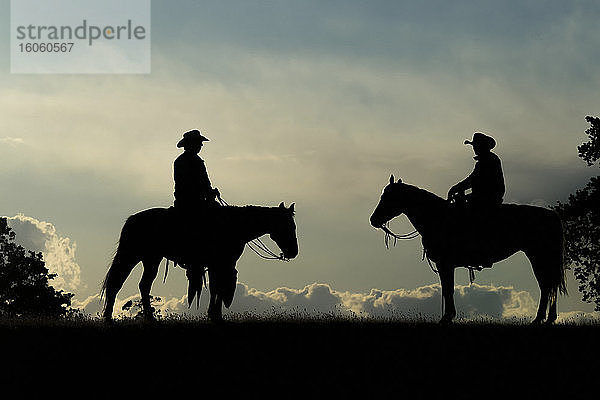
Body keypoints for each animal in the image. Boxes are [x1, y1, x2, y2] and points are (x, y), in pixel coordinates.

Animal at [101, 203, 298, 322]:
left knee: (142, 285)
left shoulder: (220, 265)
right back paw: (111, 318)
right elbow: (217, 288)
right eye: (288, 226)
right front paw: (215, 315)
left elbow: (217, 288)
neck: (233, 226)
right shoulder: (219, 263)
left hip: (151, 259)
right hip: (132, 255)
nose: (293, 252)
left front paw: (215, 314)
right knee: (118, 283)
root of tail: (132, 219)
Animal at [370, 176, 568, 324]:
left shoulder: (445, 264)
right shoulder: (445, 265)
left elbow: (448, 290)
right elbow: (446, 289)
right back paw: (548, 318)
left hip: (538, 255)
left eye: (389, 197)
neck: (437, 217)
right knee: (549, 285)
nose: (373, 220)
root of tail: (552, 215)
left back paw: (540, 319)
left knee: (546, 285)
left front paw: (447, 318)